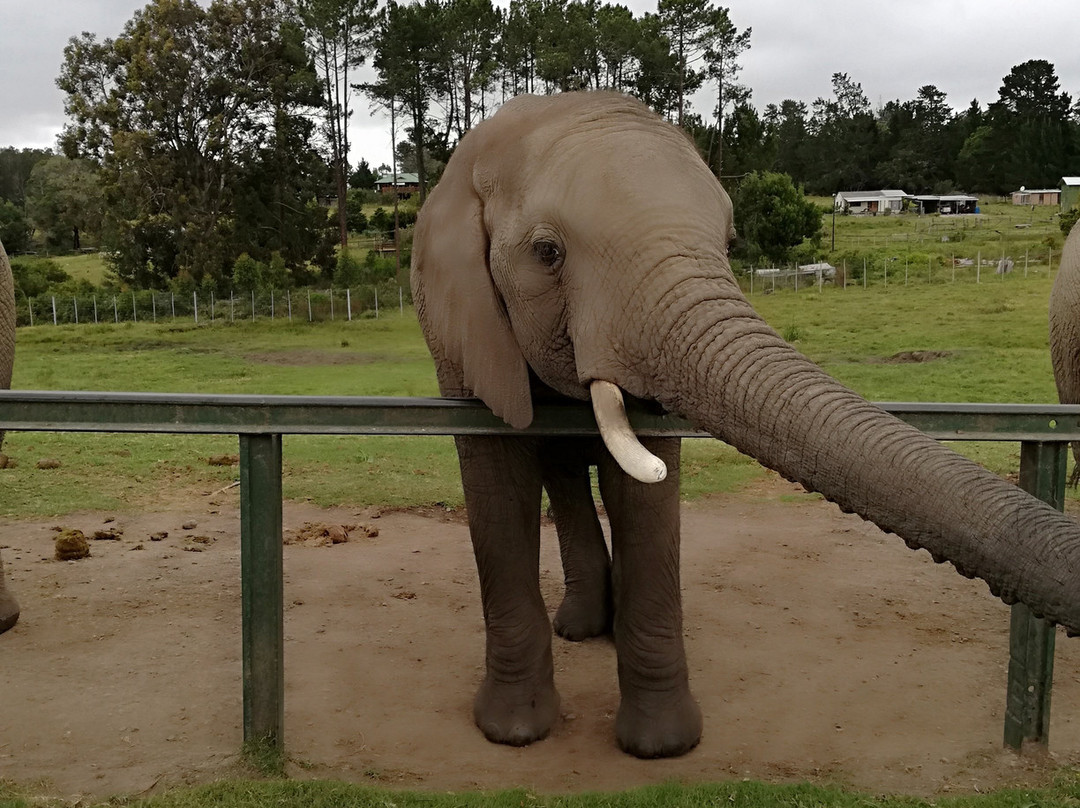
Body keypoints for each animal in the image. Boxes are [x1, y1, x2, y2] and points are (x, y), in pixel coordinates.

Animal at [411, 91, 1080, 759]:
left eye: (730, 246)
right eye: (546, 253)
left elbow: (648, 496)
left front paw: (660, 746)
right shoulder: (463, 330)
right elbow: (497, 484)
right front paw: (513, 732)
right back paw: (580, 628)